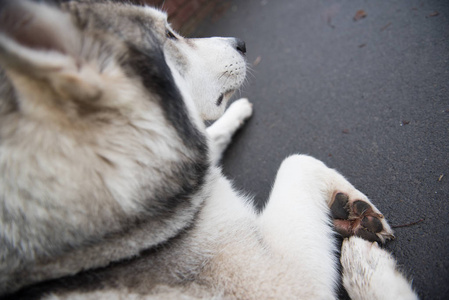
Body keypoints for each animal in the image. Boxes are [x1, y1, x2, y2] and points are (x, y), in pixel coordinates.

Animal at [1, 0, 418, 298]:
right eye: (170, 34)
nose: (242, 42)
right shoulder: (287, 282)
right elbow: (295, 161)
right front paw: (357, 226)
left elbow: (214, 140)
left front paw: (237, 113)